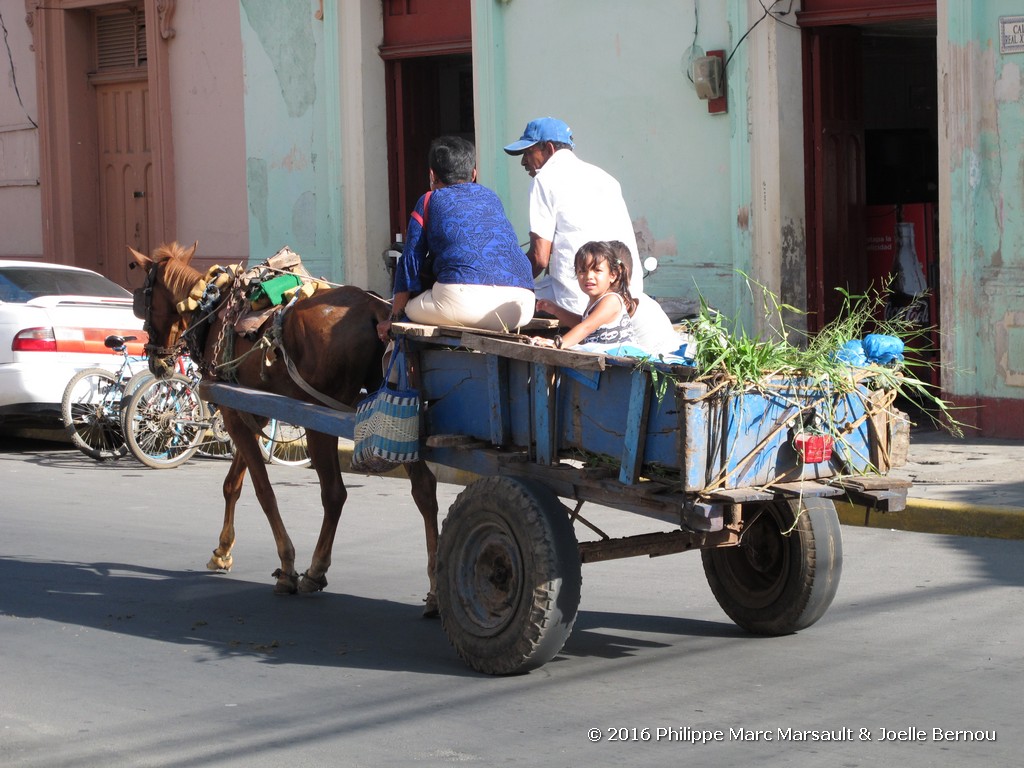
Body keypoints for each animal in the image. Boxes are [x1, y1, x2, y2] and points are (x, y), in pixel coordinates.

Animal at [129, 243, 440, 618]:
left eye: (144, 299)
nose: (156, 361)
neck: (212, 308)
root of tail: (377, 309)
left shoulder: (233, 412)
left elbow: (263, 491)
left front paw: (287, 567)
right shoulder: (253, 410)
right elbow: (232, 484)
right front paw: (222, 551)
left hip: (324, 418)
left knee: (334, 493)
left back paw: (315, 571)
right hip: (396, 407)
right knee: (424, 490)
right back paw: (435, 590)